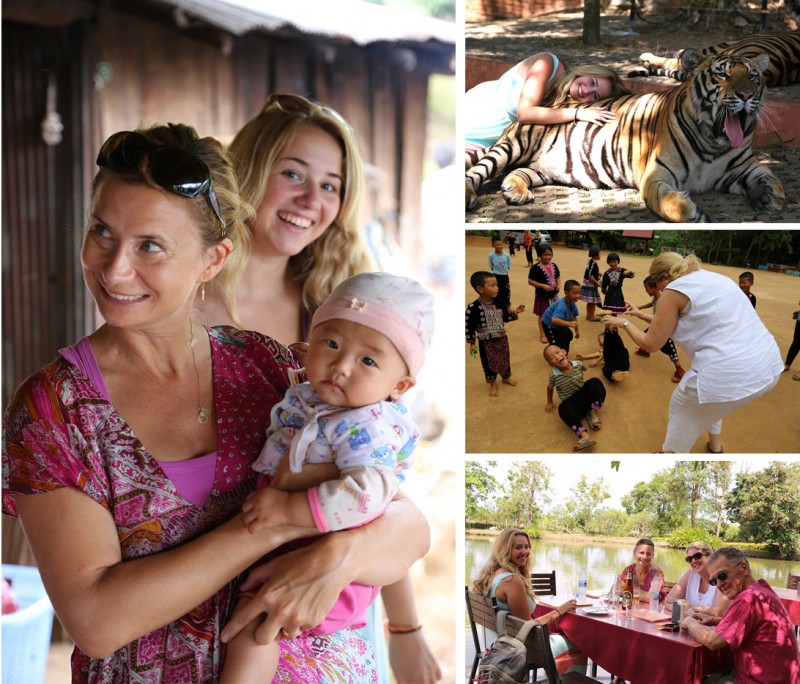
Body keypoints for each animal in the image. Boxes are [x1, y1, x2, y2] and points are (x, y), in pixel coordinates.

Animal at [466, 51, 784, 222]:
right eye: (722, 75)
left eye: (753, 76)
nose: (745, 95)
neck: (713, 143)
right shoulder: (657, 174)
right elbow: (667, 202)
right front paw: (691, 212)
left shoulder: (740, 167)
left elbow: (770, 177)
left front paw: (770, 195)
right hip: (514, 145)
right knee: (477, 171)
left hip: (541, 168)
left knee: (518, 172)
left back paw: (514, 189)